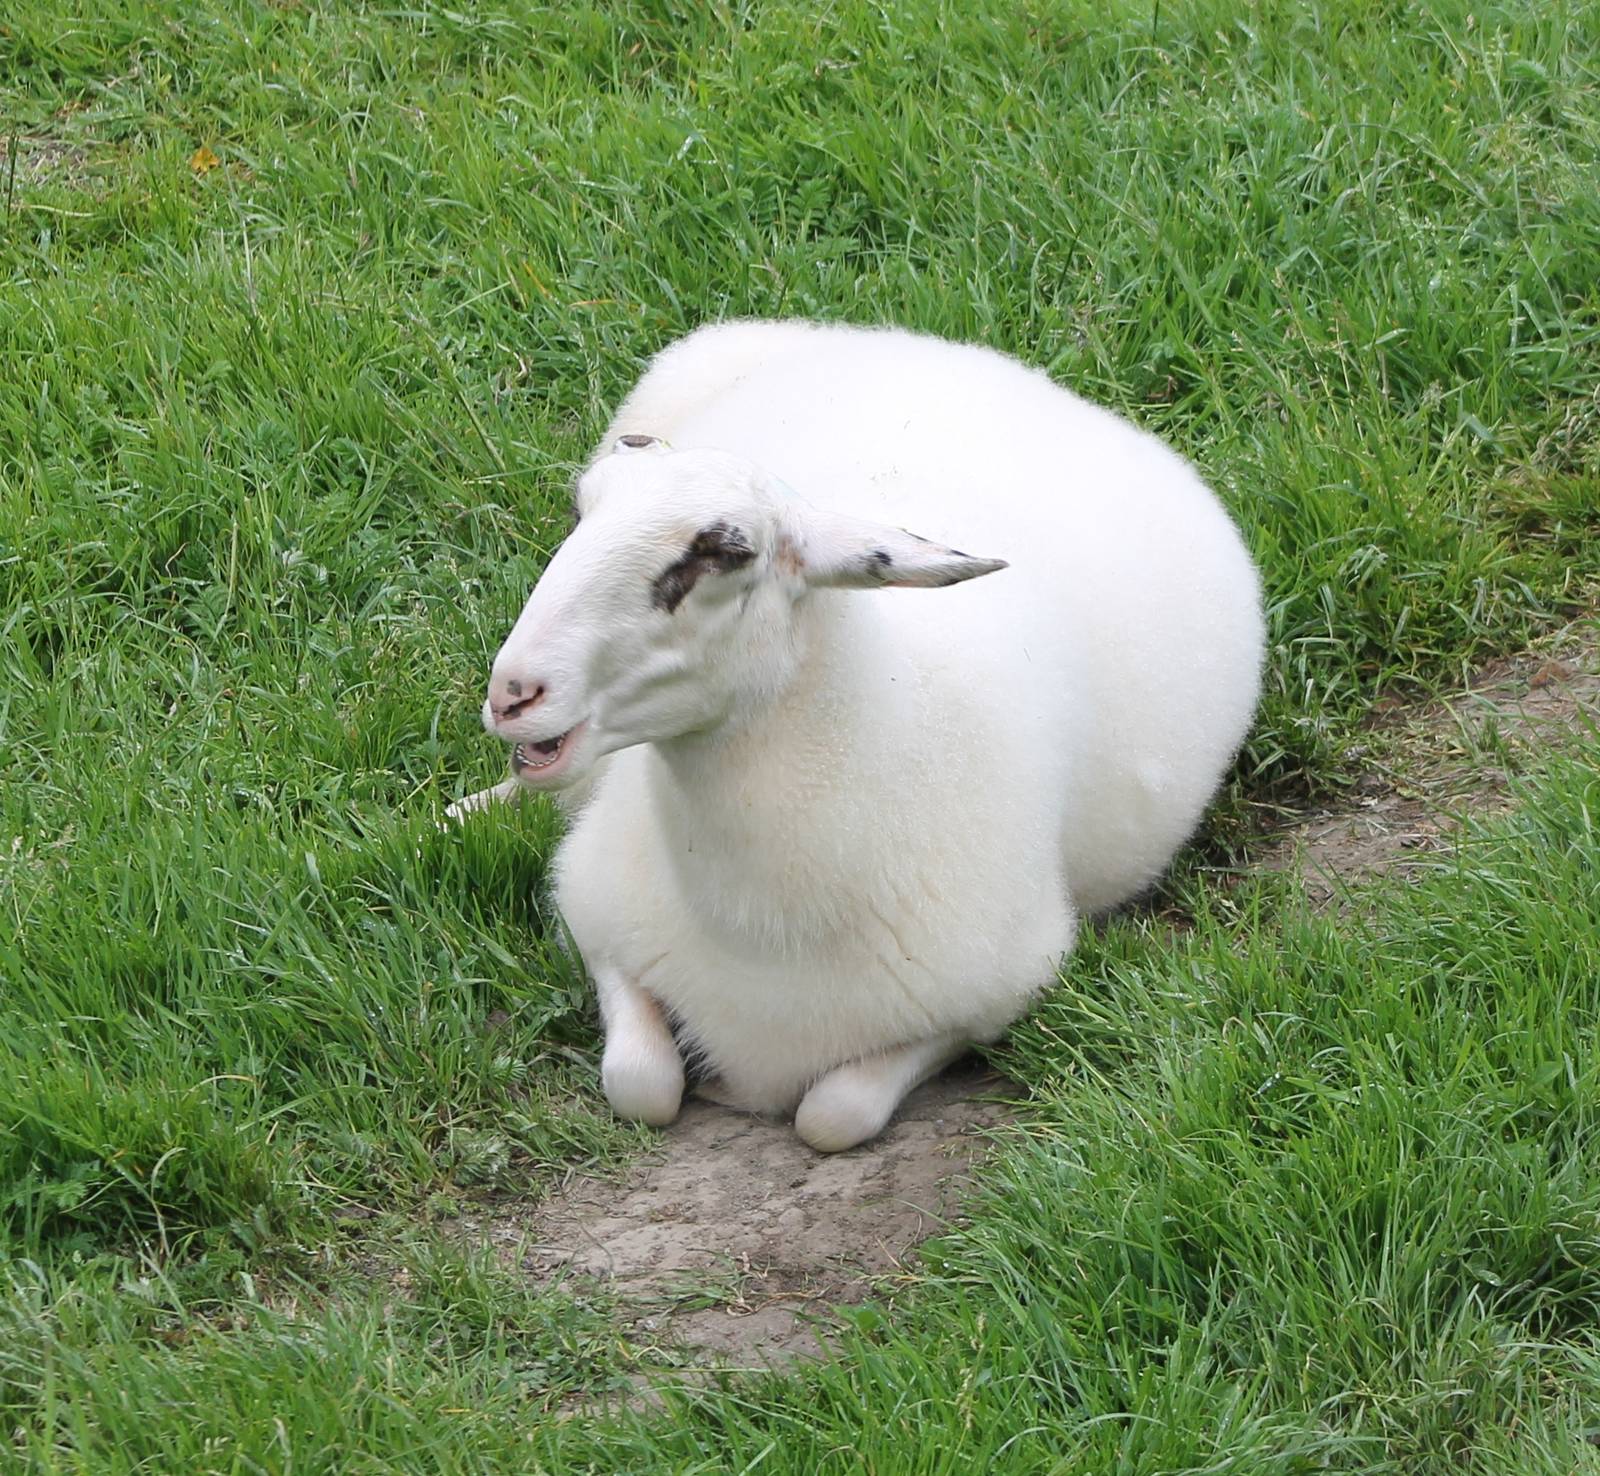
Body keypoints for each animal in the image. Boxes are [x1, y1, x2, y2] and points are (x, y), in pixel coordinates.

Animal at [452, 320, 1264, 1152]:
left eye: (721, 552)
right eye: (582, 512)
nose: (514, 694)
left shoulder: (997, 995)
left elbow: (833, 1115)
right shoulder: (595, 913)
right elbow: (640, 1085)